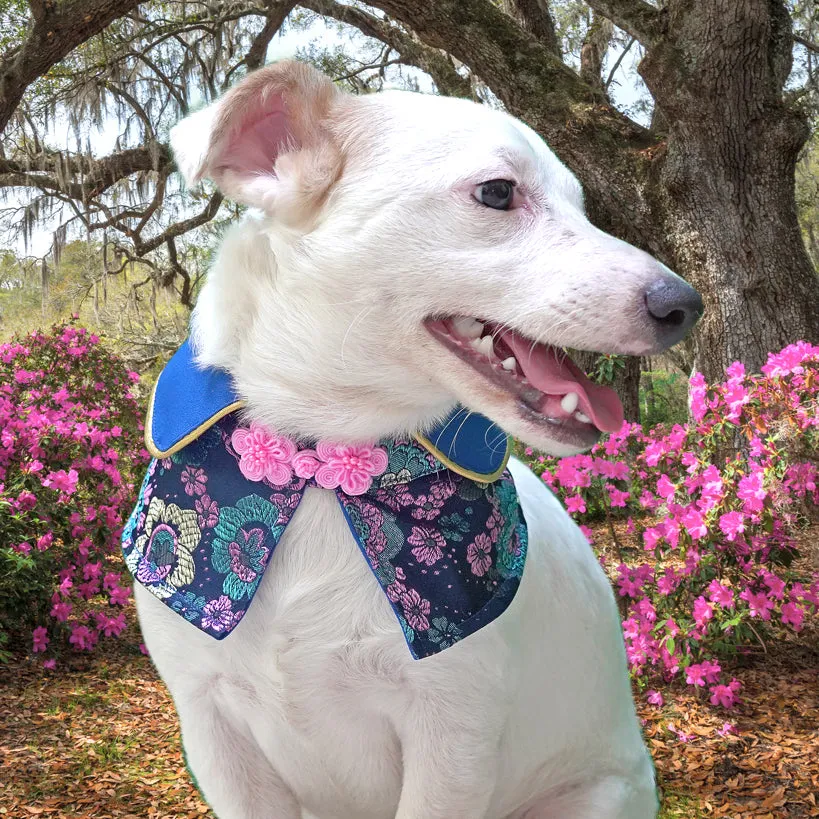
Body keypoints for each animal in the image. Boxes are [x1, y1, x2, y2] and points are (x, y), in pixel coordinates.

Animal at [130, 62, 704, 819]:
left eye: (582, 207)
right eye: (497, 192)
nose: (684, 305)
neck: (320, 464)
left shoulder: (453, 734)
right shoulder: (212, 725)